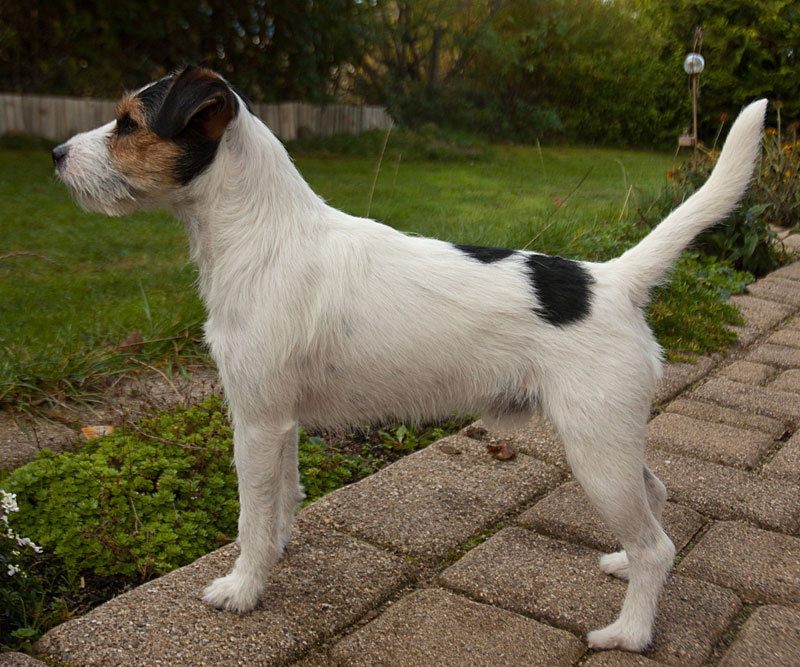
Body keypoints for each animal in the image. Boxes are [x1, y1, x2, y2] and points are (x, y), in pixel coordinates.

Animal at [51, 68, 768, 652]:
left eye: (128, 123)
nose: (54, 154)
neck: (265, 231)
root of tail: (614, 279)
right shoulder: (280, 422)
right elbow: (283, 495)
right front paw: (279, 552)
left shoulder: (254, 421)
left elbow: (251, 515)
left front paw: (244, 587)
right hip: (611, 441)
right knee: (656, 498)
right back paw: (621, 563)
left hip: (595, 451)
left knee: (658, 545)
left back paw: (630, 631)